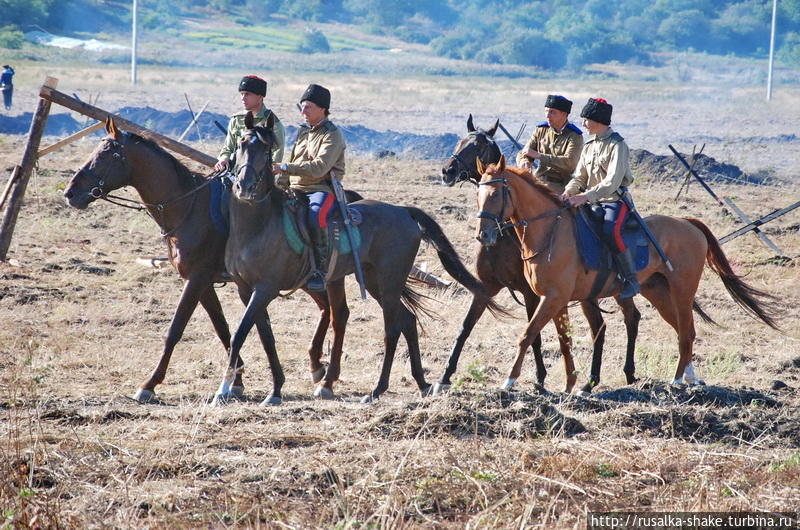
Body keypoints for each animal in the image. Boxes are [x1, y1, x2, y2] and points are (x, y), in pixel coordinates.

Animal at [64, 117, 346, 402]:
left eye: (106, 154)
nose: (70, 193)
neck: (187, 206)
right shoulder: (206, 283)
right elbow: (223, 328)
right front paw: (236, 381)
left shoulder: (198, 279)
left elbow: (176, 330)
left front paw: (149, 384)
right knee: (328, 309)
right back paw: (317, 368)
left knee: (337, 312)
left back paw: (326, 377)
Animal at [212, 113, 500, 404]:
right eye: (241, 143)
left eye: (267, 149)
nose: (245, 186)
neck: (258, 225)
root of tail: (403, 212)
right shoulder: (246, 290)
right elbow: (264, 337)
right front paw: (274, 388)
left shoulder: (265, 289)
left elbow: (240, 334)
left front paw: (225, 389)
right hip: (373, 281)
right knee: (406, 320)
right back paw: (421, 382)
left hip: (388, 283)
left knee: (392, 329)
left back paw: (377, 389)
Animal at [438, 115, 644, 394]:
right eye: (460, 141)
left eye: (478, 146)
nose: (447, 171)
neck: (506, 235)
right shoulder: (486, 286)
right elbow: (465, 327)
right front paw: (444, 376)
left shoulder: (532, 293)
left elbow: (533, 335)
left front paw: (539, 379)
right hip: (589, 295)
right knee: (599, 326)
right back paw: (590, 381)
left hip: (618, 291)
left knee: (631, 318)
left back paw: (629, 372)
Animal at [472, 155, 780, 386]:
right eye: (478, 194)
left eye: (496, 193)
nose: (483, 235)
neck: (550, 231)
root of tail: (688, 223)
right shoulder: (556, 300)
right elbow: (563, 341)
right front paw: (570, 385)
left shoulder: (553, 298)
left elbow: (527, 334)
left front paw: (509, 382)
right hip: (658, 292)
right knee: (685, 331)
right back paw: (688, 378)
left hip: (682, 291)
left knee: (685, 332)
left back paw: (676, 381)